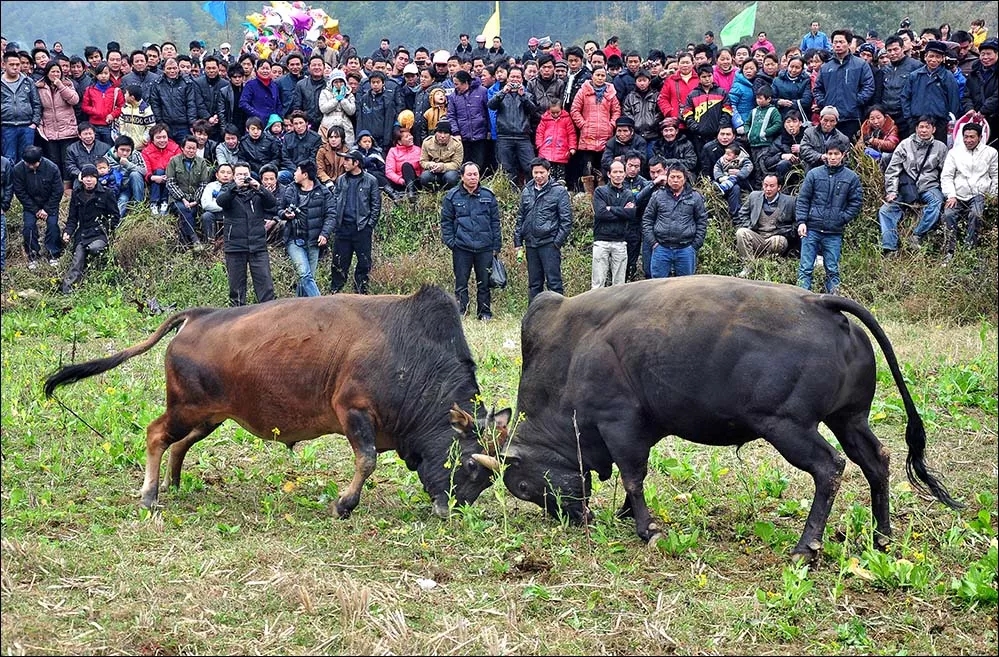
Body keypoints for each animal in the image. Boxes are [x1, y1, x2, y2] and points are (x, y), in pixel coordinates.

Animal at [476, 276, 960, 560]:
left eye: (522, 487)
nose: (572, 519)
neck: (571, 351)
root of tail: (820, 303)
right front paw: (627, 516)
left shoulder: (620, 424)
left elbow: (633, 476)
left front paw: (646, 528)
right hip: (849, 419)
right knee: (877, 461)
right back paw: (883, 536)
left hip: (787, 427)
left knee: (830, 468)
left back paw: (806, 547)